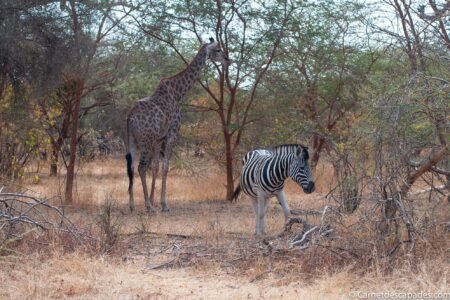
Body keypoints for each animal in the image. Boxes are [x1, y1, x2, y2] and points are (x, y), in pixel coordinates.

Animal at [125, 38, 230, 213]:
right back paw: (148, 207)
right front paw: (163, 204)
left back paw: (133, 205)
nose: (228, 61)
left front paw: (154, 200)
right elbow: (165, 167)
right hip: (145, 140)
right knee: (141, 167)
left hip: (132, 140)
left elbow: (156, 167)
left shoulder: (159, 139)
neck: (178, 93)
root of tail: (130, 118)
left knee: (131, 167)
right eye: (218, 50)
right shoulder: (172, 134)